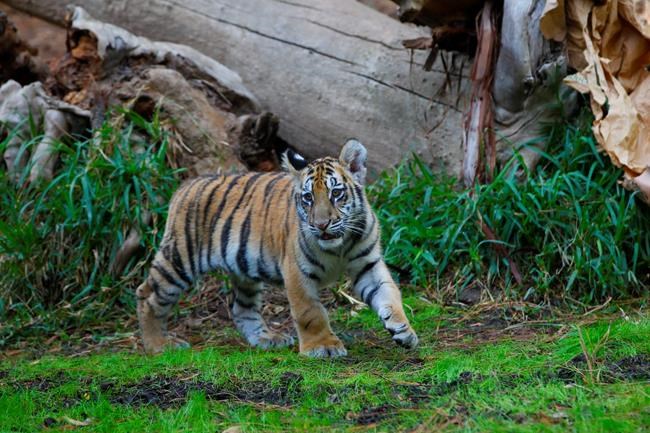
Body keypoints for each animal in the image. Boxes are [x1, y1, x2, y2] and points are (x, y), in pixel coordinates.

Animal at [136, 139, 418, 357]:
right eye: (308, 198)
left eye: (336, 193)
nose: (321, 224)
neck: (340, 245)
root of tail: (185, 186)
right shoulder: (296, 271)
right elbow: (310, 312)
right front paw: (323, 347)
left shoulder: (368, 265)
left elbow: (389, 294)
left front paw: (404, 330)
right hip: (180, 259)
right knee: (147, 295)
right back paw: (158, 345)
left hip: (243, 270)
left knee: (242, 308)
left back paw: (266, 339)